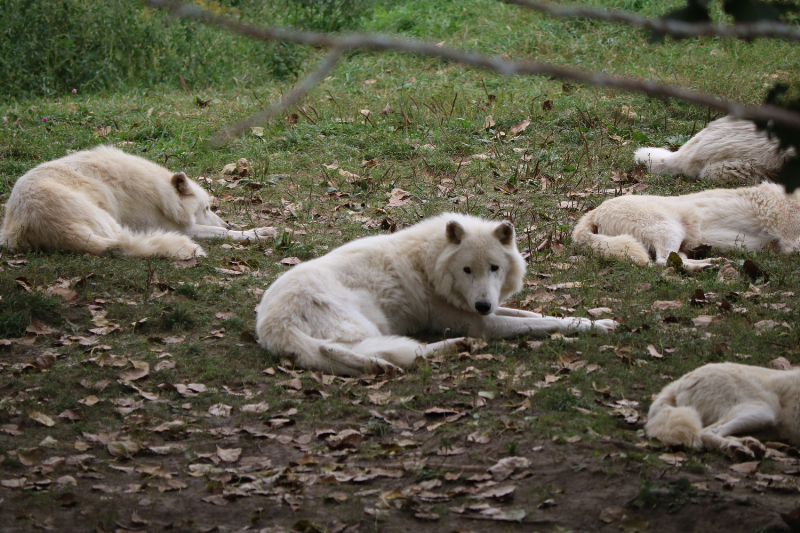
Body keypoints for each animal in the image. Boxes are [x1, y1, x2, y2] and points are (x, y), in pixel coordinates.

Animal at [256, 212, 620, 374]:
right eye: (467, 270)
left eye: (494, 268)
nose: (483, 304)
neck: (429, 262)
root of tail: (271, 326)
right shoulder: (480, 323)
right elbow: (542, 323)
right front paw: (595, 327)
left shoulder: (484, 312)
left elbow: (534, 314)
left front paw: (594, 319)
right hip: (367, 325)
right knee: (384, 354)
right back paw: (451, 347)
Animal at [572, 182, 796, 270]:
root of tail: (596, 210)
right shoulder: (791, 244)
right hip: (671, 231)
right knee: (662, 262)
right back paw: (708, 266)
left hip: (678, 243)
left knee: (676, 261)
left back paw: (713, 263)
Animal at [644, 364, 800, 460]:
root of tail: (679, 382)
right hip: (763, 412)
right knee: (705, 433)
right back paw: (736, 449)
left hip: (766, 426)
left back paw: (747, 445)